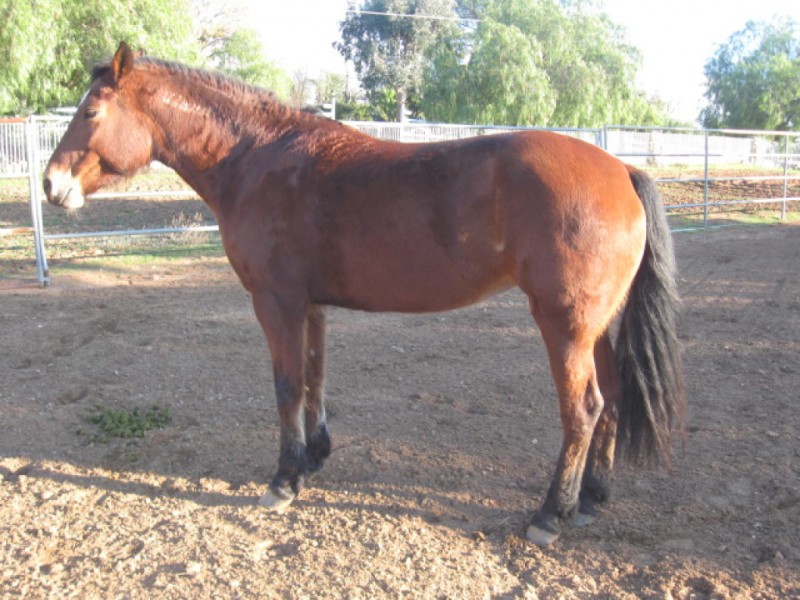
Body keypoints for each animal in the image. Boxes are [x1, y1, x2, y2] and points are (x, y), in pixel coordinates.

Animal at [43, 42, 684, 547]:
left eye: (91, 109)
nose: (51, 185)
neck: (258, 159)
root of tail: (622, 170)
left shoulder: (275, 302)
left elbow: (286, 386)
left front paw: (283, 480)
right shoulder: (311, 305)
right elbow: (315, 377)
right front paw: (315, 457)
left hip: (564, 326)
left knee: (583, 409)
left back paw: (551, 514)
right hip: (595, 326)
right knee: (614, 398)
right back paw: (592, 497)